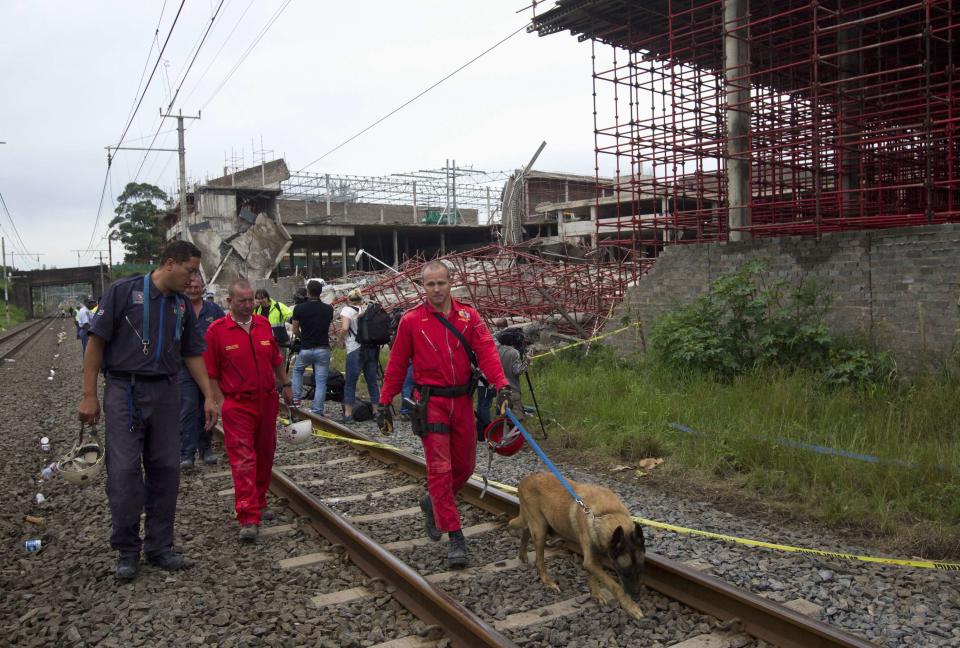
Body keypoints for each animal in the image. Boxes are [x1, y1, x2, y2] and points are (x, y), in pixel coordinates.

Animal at [510, 470, 644, 616]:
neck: (606, 514)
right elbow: (614, 585)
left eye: (640, 570)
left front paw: (596, 594)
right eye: (625, 572)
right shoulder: (590, 562)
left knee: (525, 531)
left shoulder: (596, 557)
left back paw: (522, 554)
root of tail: (525, 479)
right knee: (538, 562)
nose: (637, 597)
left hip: (540, 525)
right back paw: (549, 583)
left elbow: (594, 577)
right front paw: (631, 607)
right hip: (540, 529)